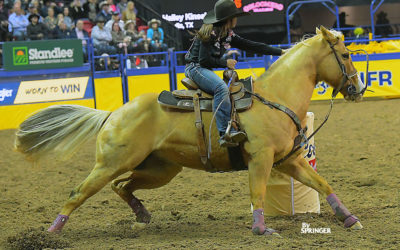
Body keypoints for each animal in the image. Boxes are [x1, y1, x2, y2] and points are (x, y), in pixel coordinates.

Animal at [15, 26, 366, 235]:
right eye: (346, 54)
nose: (359, 88)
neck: (275, 97)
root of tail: (113, 113)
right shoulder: (261, 160)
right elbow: (258, 193)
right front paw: (262, 229)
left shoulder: (288, 160)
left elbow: (321, 183)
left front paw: (349, 218)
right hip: (111, 164)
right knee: (78, 193)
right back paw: (52, 233)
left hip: (159, 169)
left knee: (121, 186)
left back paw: (142, 215)